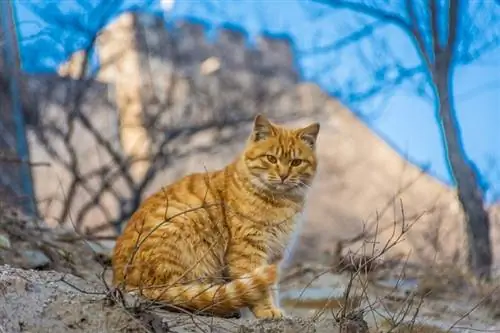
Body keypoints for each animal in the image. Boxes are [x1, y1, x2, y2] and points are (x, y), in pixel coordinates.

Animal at [111, 115, 318, 320]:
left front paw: (275, 309)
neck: (283, 202)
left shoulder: (275, 253)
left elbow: (272, 288)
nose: (283, 175)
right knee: (179, 298)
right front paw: (266, 310)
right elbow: (261, 289)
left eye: (296, 162)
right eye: (271, 159)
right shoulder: (249, 251)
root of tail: (120, 280)